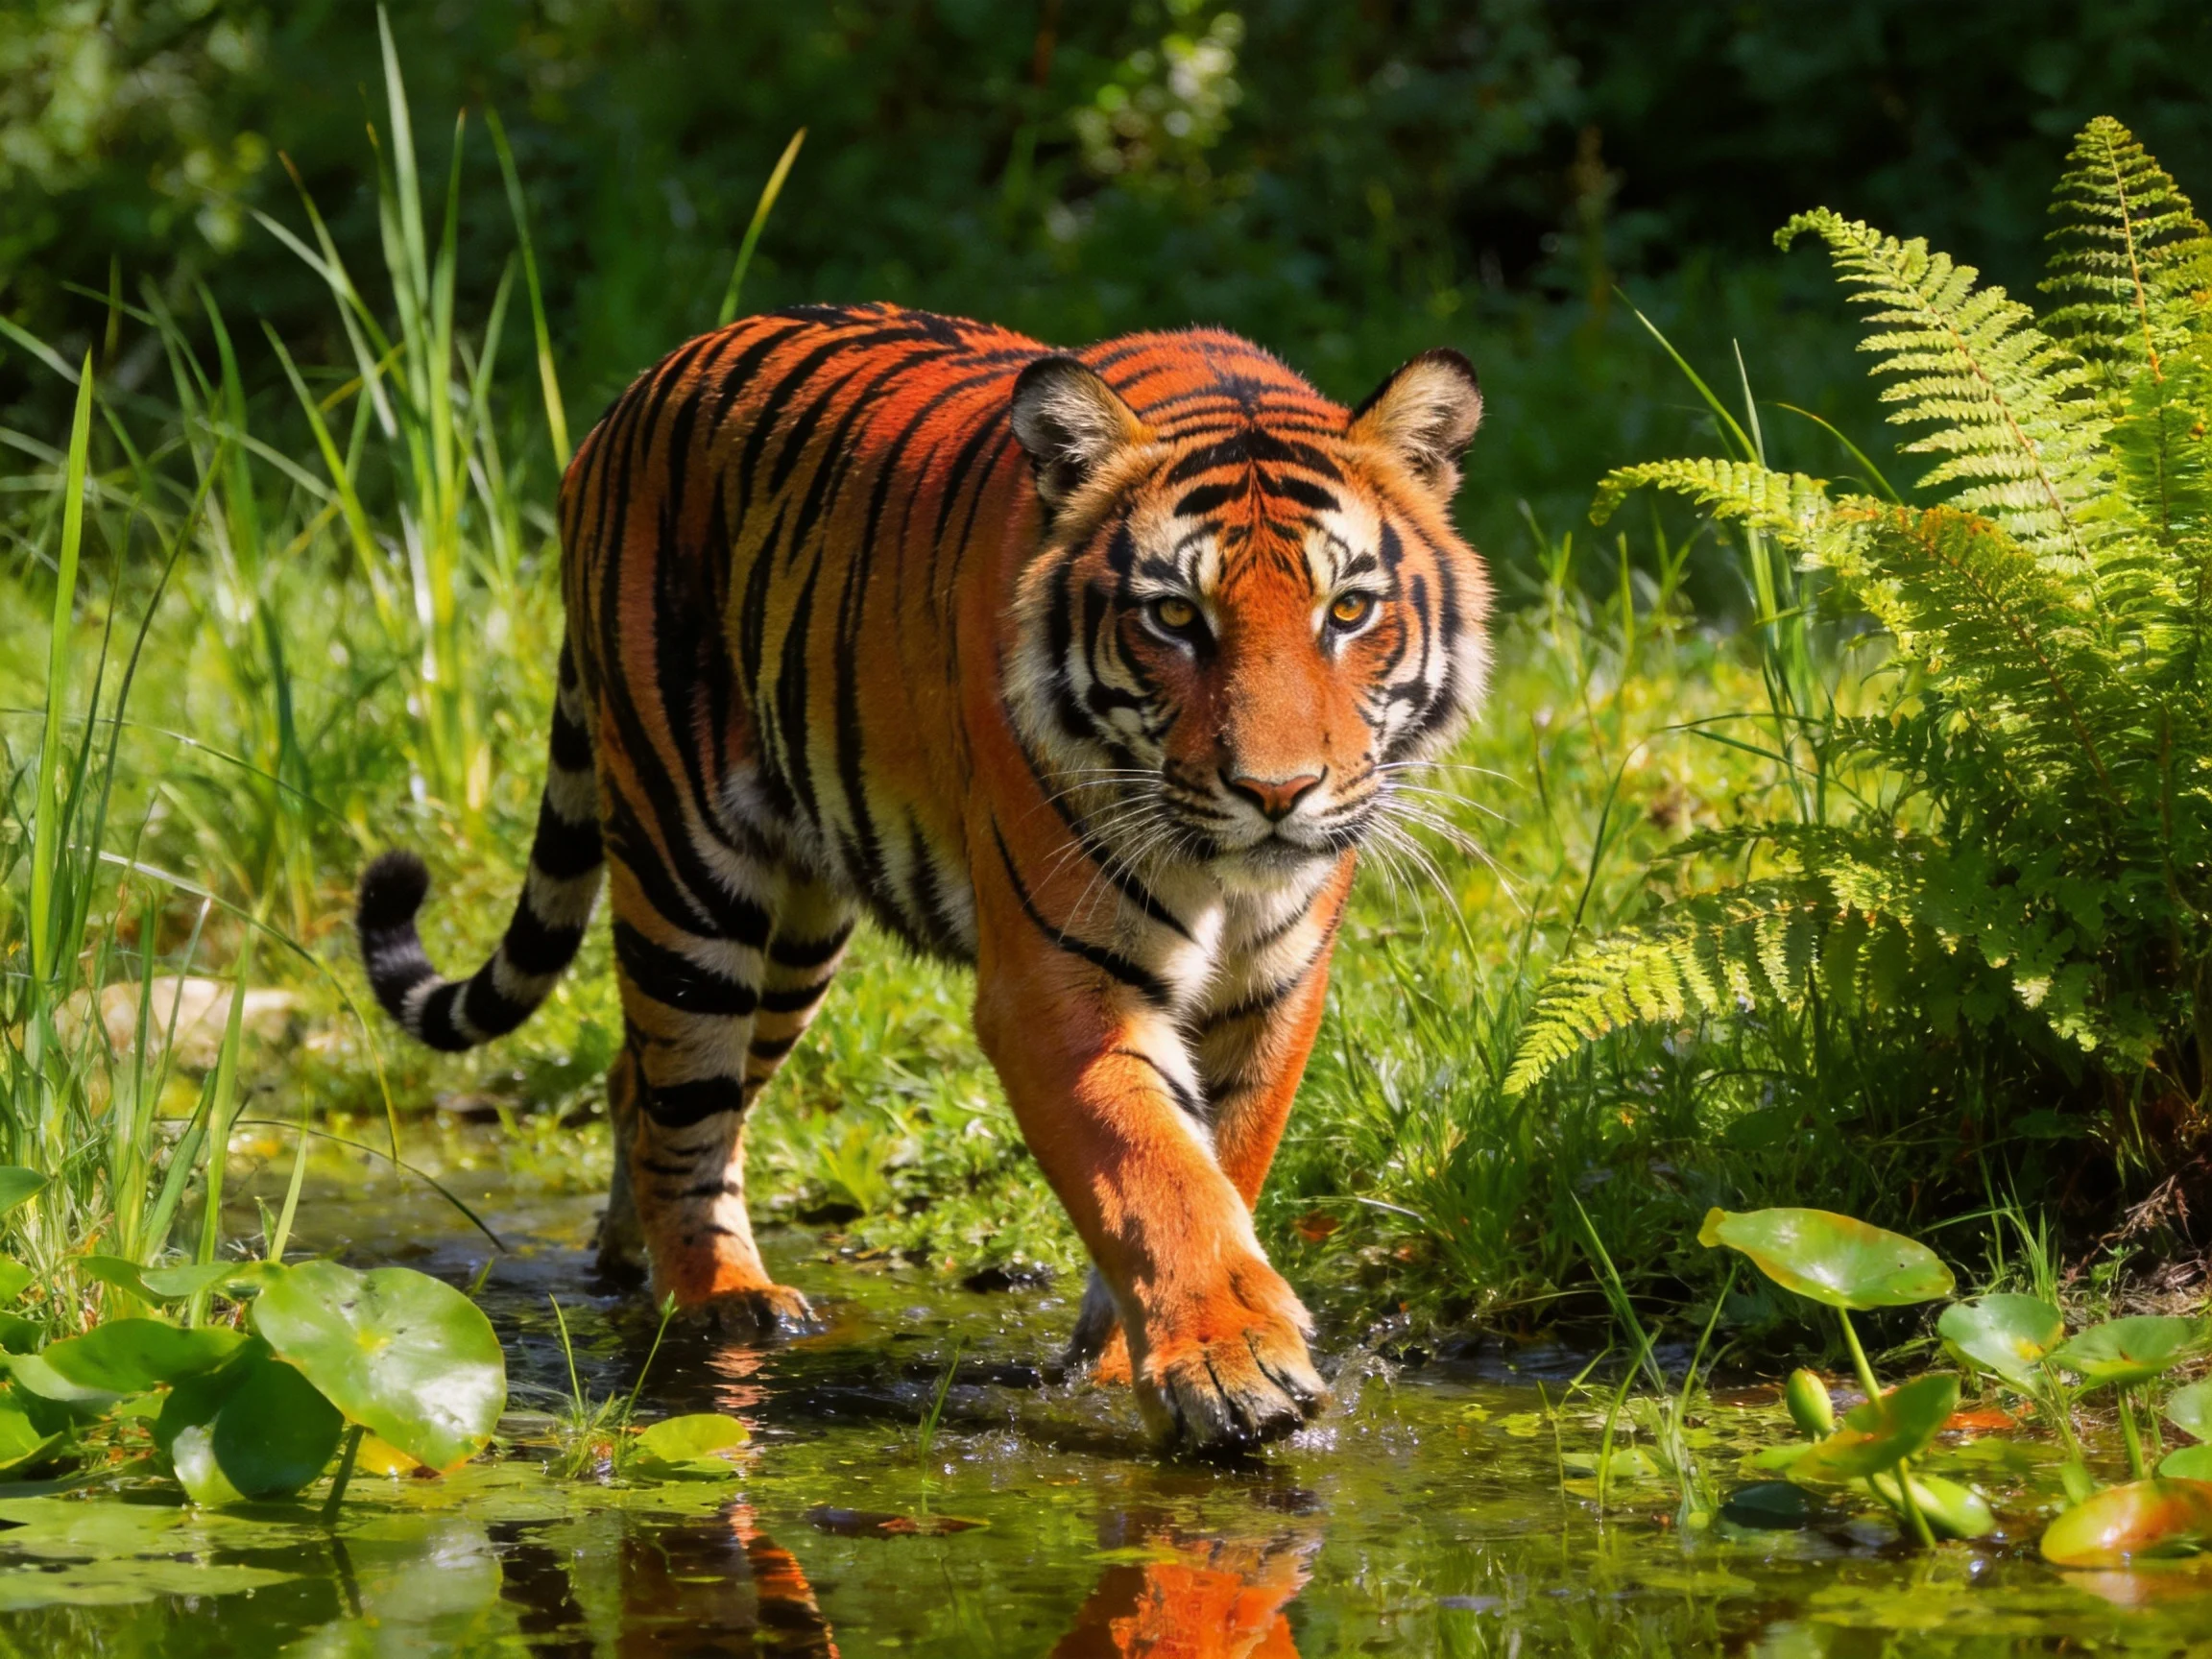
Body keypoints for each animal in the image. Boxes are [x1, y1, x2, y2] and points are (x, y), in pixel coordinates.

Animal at [357, 303, 1488, 1450]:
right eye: (1175, 618)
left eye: (1347, 612)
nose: (1276, 790)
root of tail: (633, 393)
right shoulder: (1060, 987)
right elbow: (1156, 1172)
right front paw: (1230, 1364)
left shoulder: (1273, 985)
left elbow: (1222, 1164)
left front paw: (1130, 1360)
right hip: (688, 873)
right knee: (682, 1102)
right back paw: (724, 1303)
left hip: (798, 935)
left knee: (642, 1082)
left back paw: (630, 1266)